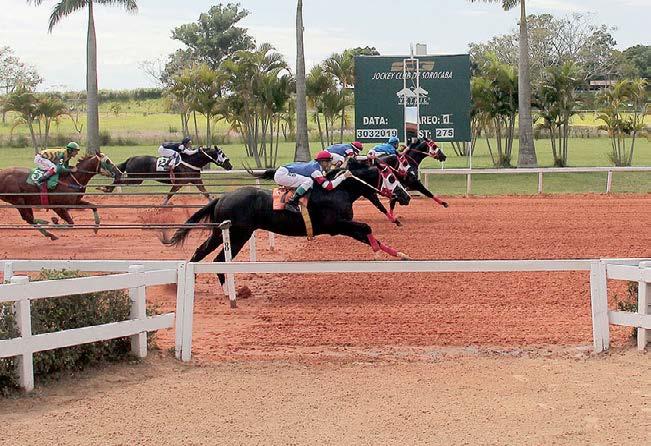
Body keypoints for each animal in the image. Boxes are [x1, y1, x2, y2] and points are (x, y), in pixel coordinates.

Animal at [99, 146, 234, 204]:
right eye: (222, 154)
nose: (230, 166)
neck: (191, 161)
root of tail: (130, 159)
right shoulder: (180, 183)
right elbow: (170, 194)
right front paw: (163, 204)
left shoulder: (196, 180)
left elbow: (205, 192)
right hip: (136, 179)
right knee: (119, 179)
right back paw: (105, 188)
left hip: (136, 179)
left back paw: (106, 188)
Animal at [166, 160, 412, 286]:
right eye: (392, 178)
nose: (406, 196)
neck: (338, 191)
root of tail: (223, 197)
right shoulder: (336, 225)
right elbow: (366, 228)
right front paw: (378, 253)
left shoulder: (344, 226)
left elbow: (367, 234)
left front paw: (402, 255)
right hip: (237, 234)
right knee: (218, 260)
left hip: (223, 232)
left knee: (202, 251)